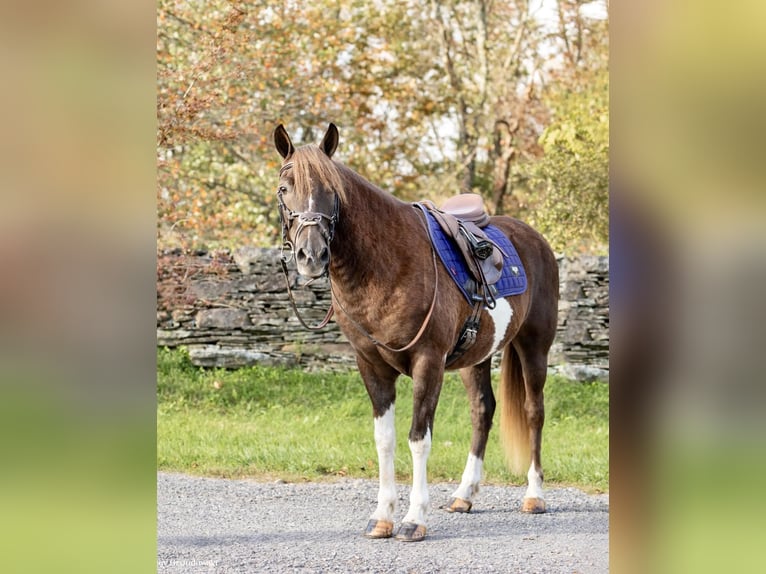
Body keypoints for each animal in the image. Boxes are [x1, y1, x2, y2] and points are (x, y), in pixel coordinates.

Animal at [272, 124, 560, 544]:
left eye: (331, 190)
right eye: (284, 188)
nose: (312, 255)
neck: (388, 266)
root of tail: (534, 239)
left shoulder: (428, 362)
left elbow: (418, 438)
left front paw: (413, 519)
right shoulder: (371, 365)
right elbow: (385, 439)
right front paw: (382, 517)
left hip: (534, 346)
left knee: (533, 411)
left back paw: (535, 495)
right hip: (476, 356)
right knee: (482, 410)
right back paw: (464, 494)